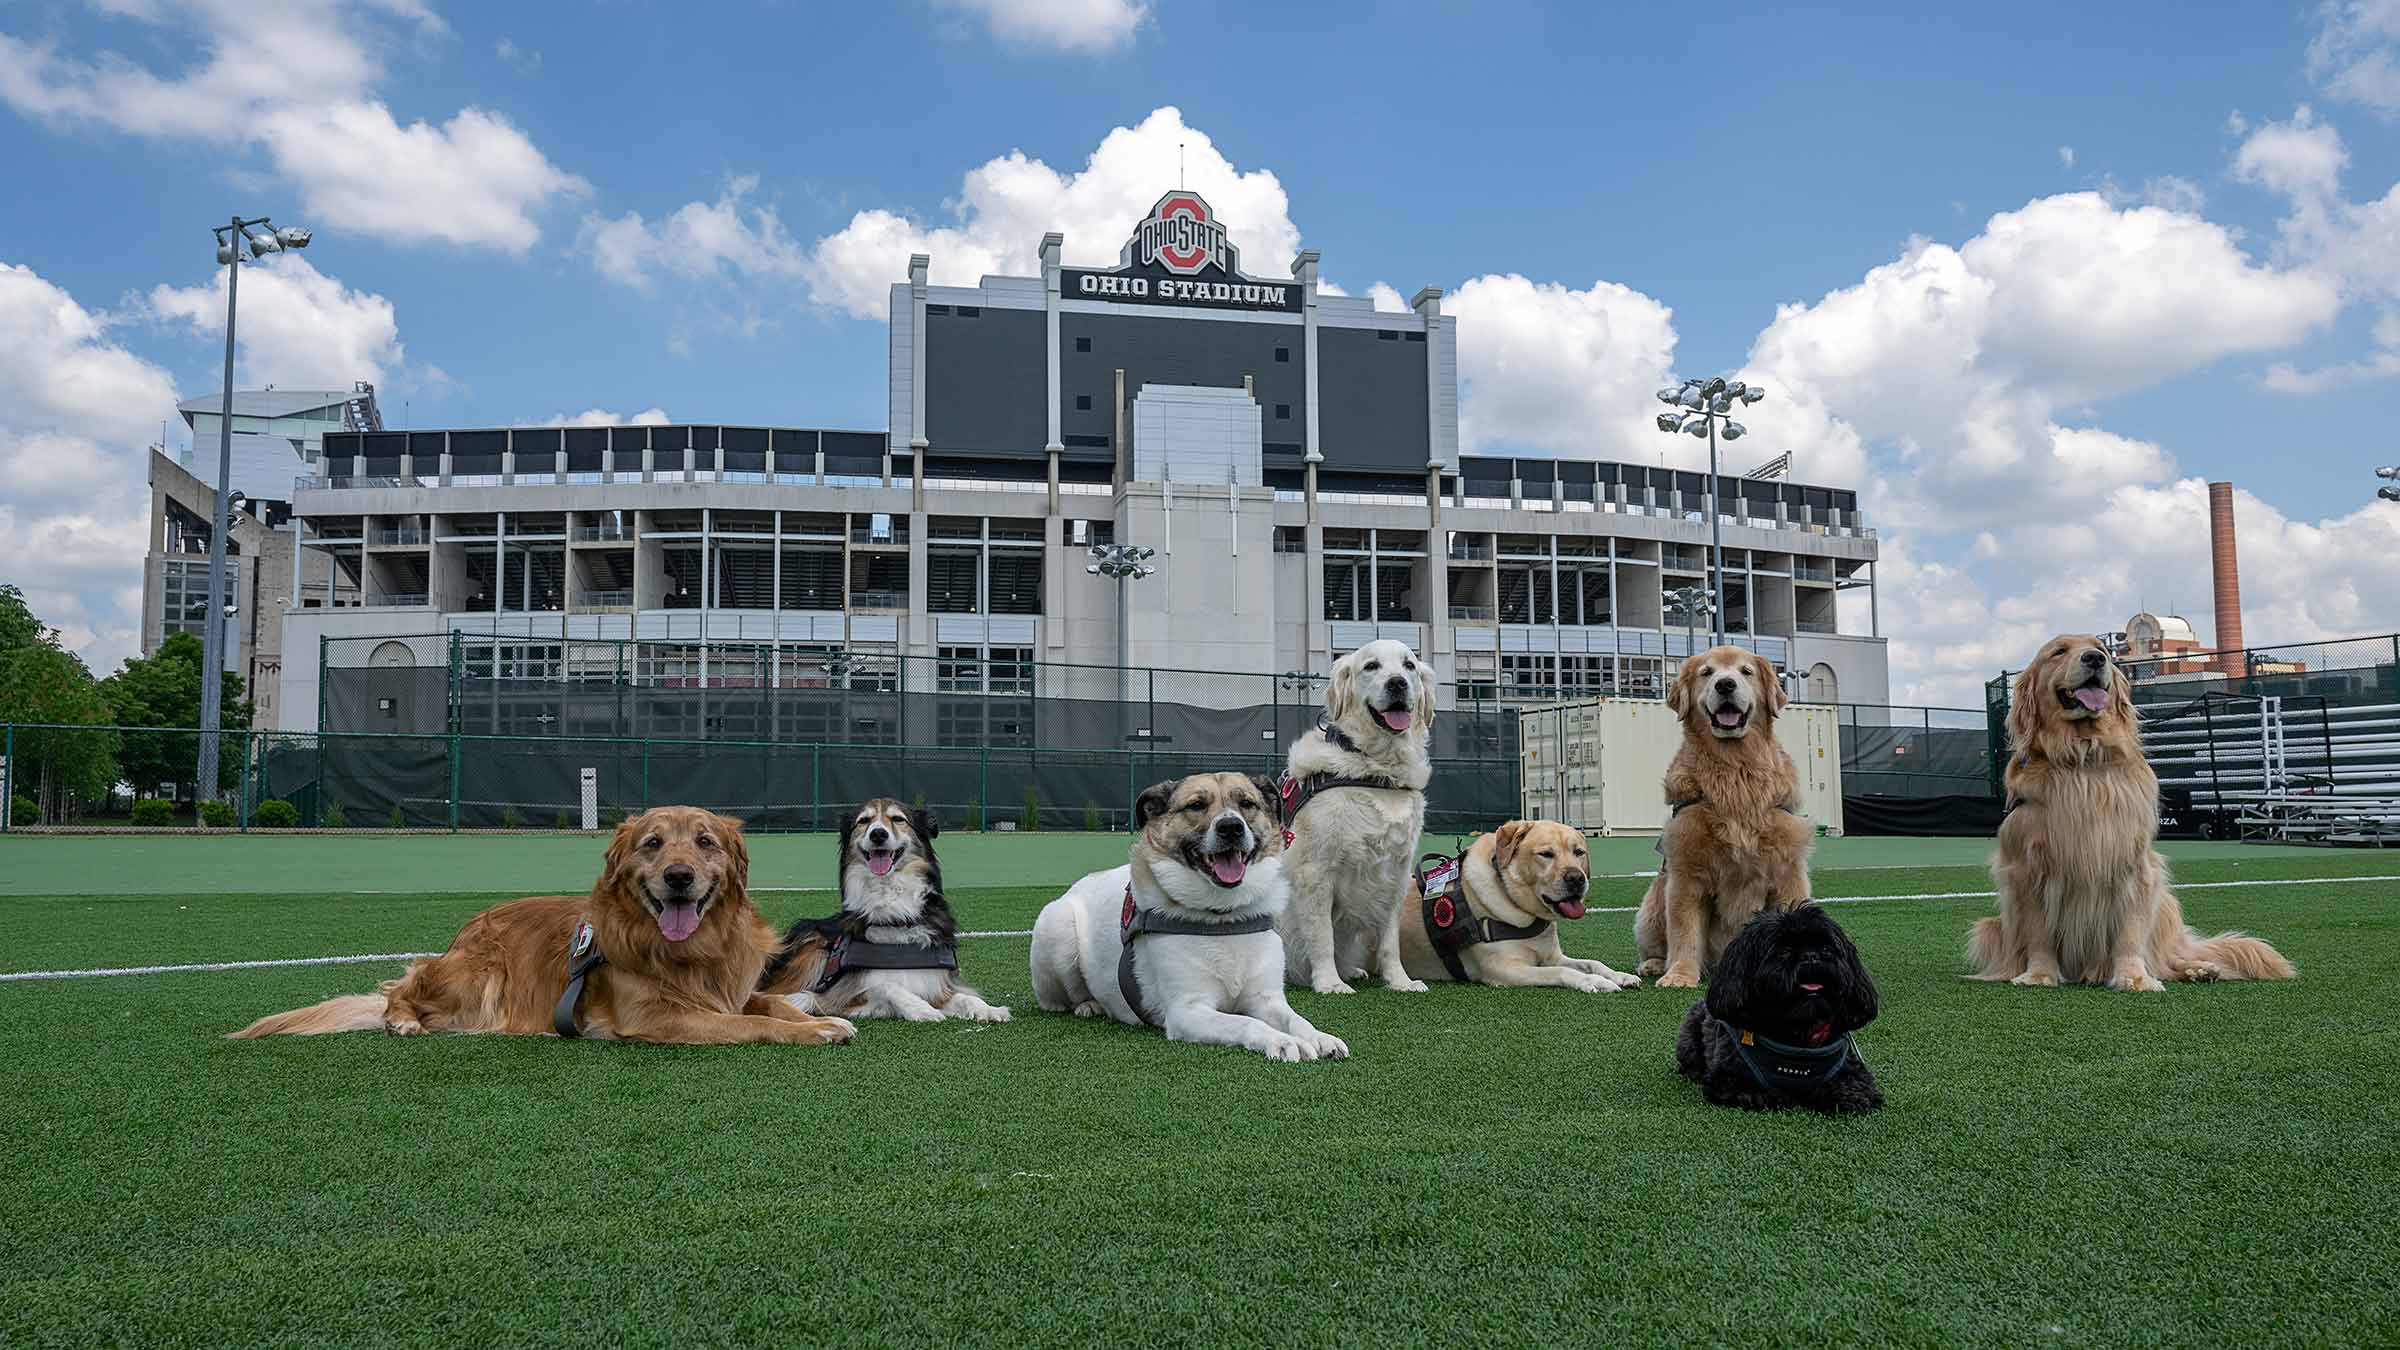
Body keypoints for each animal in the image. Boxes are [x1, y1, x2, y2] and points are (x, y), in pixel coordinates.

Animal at [1032, 773, 1353, 1056]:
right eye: (1196, 805)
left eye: (1246, 803)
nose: (1231, 827)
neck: (1224, 917)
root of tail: (1080, 882)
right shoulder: (1187, 1011)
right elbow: (1247, 1023)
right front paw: (1283, 1042)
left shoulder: (1267, 999)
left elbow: (1297, 1020)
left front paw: (1320, 1038)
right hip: (1057, 929)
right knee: (1060, 1000)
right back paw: (1089, 1005)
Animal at [1286, 634, 1430, 994]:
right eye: (1371, 666)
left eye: (1409, 665)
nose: (1397, 683)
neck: (1375, 768)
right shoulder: (1314, 872)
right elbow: (1322, 935)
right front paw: (1329, 982)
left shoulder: (1395, 874)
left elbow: (1390, 941)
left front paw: (1400, 981)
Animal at [1680, 898, 1881, 1109]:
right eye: (1784, 951)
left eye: (1826, 949)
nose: (1811, 955)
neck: (1797, 1030)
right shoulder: (1730, 1079)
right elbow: (1759, 1091)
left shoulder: (1851, 1070)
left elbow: (1851, 1087)